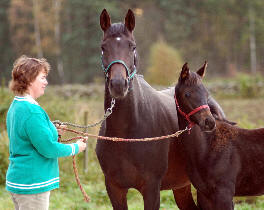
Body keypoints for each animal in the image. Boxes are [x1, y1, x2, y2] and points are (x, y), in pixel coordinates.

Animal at [96, 9, 227, 209]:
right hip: (181, 187)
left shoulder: (151, 188)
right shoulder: (114, 189)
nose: (118, 85)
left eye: (132, 47)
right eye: (104, 47)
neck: (125, 135)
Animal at [175, 62, 264, 210]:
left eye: (207, 94)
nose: (209, 122)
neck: (207, 147)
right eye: (187, 94)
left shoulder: (224, 195)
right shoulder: (204, 196)